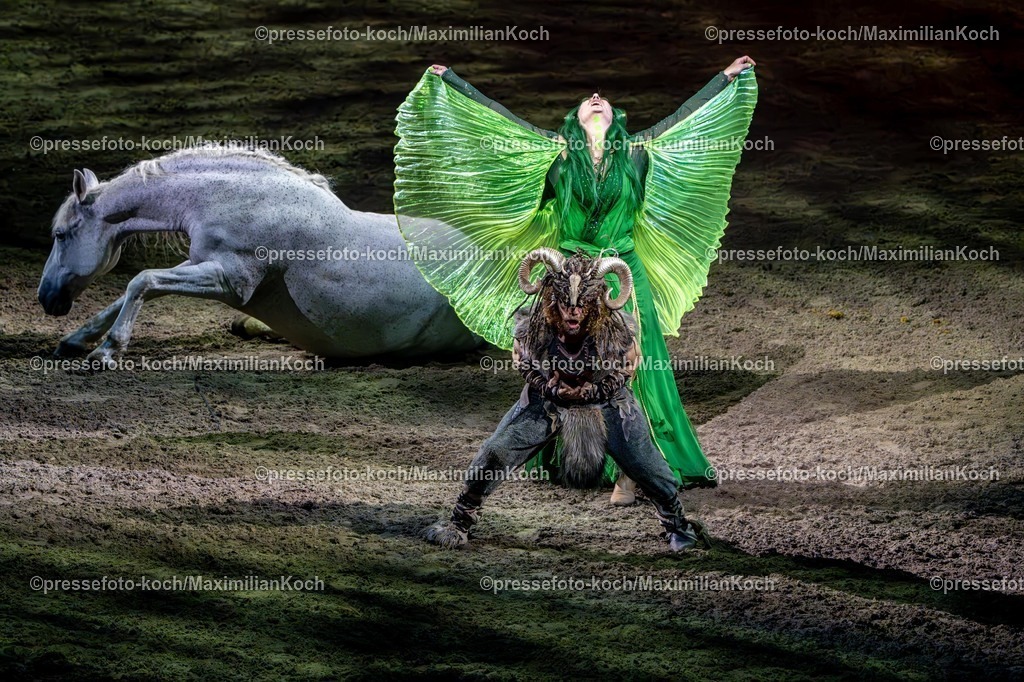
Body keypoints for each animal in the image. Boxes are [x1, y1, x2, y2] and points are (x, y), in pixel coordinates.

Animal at [37, 146, 481, 364]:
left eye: (60, 234)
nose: (45, 298)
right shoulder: (200, 263)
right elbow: (132, 291)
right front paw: (74, 341)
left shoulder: (230, 280)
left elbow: (142, 280)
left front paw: (108, 351)